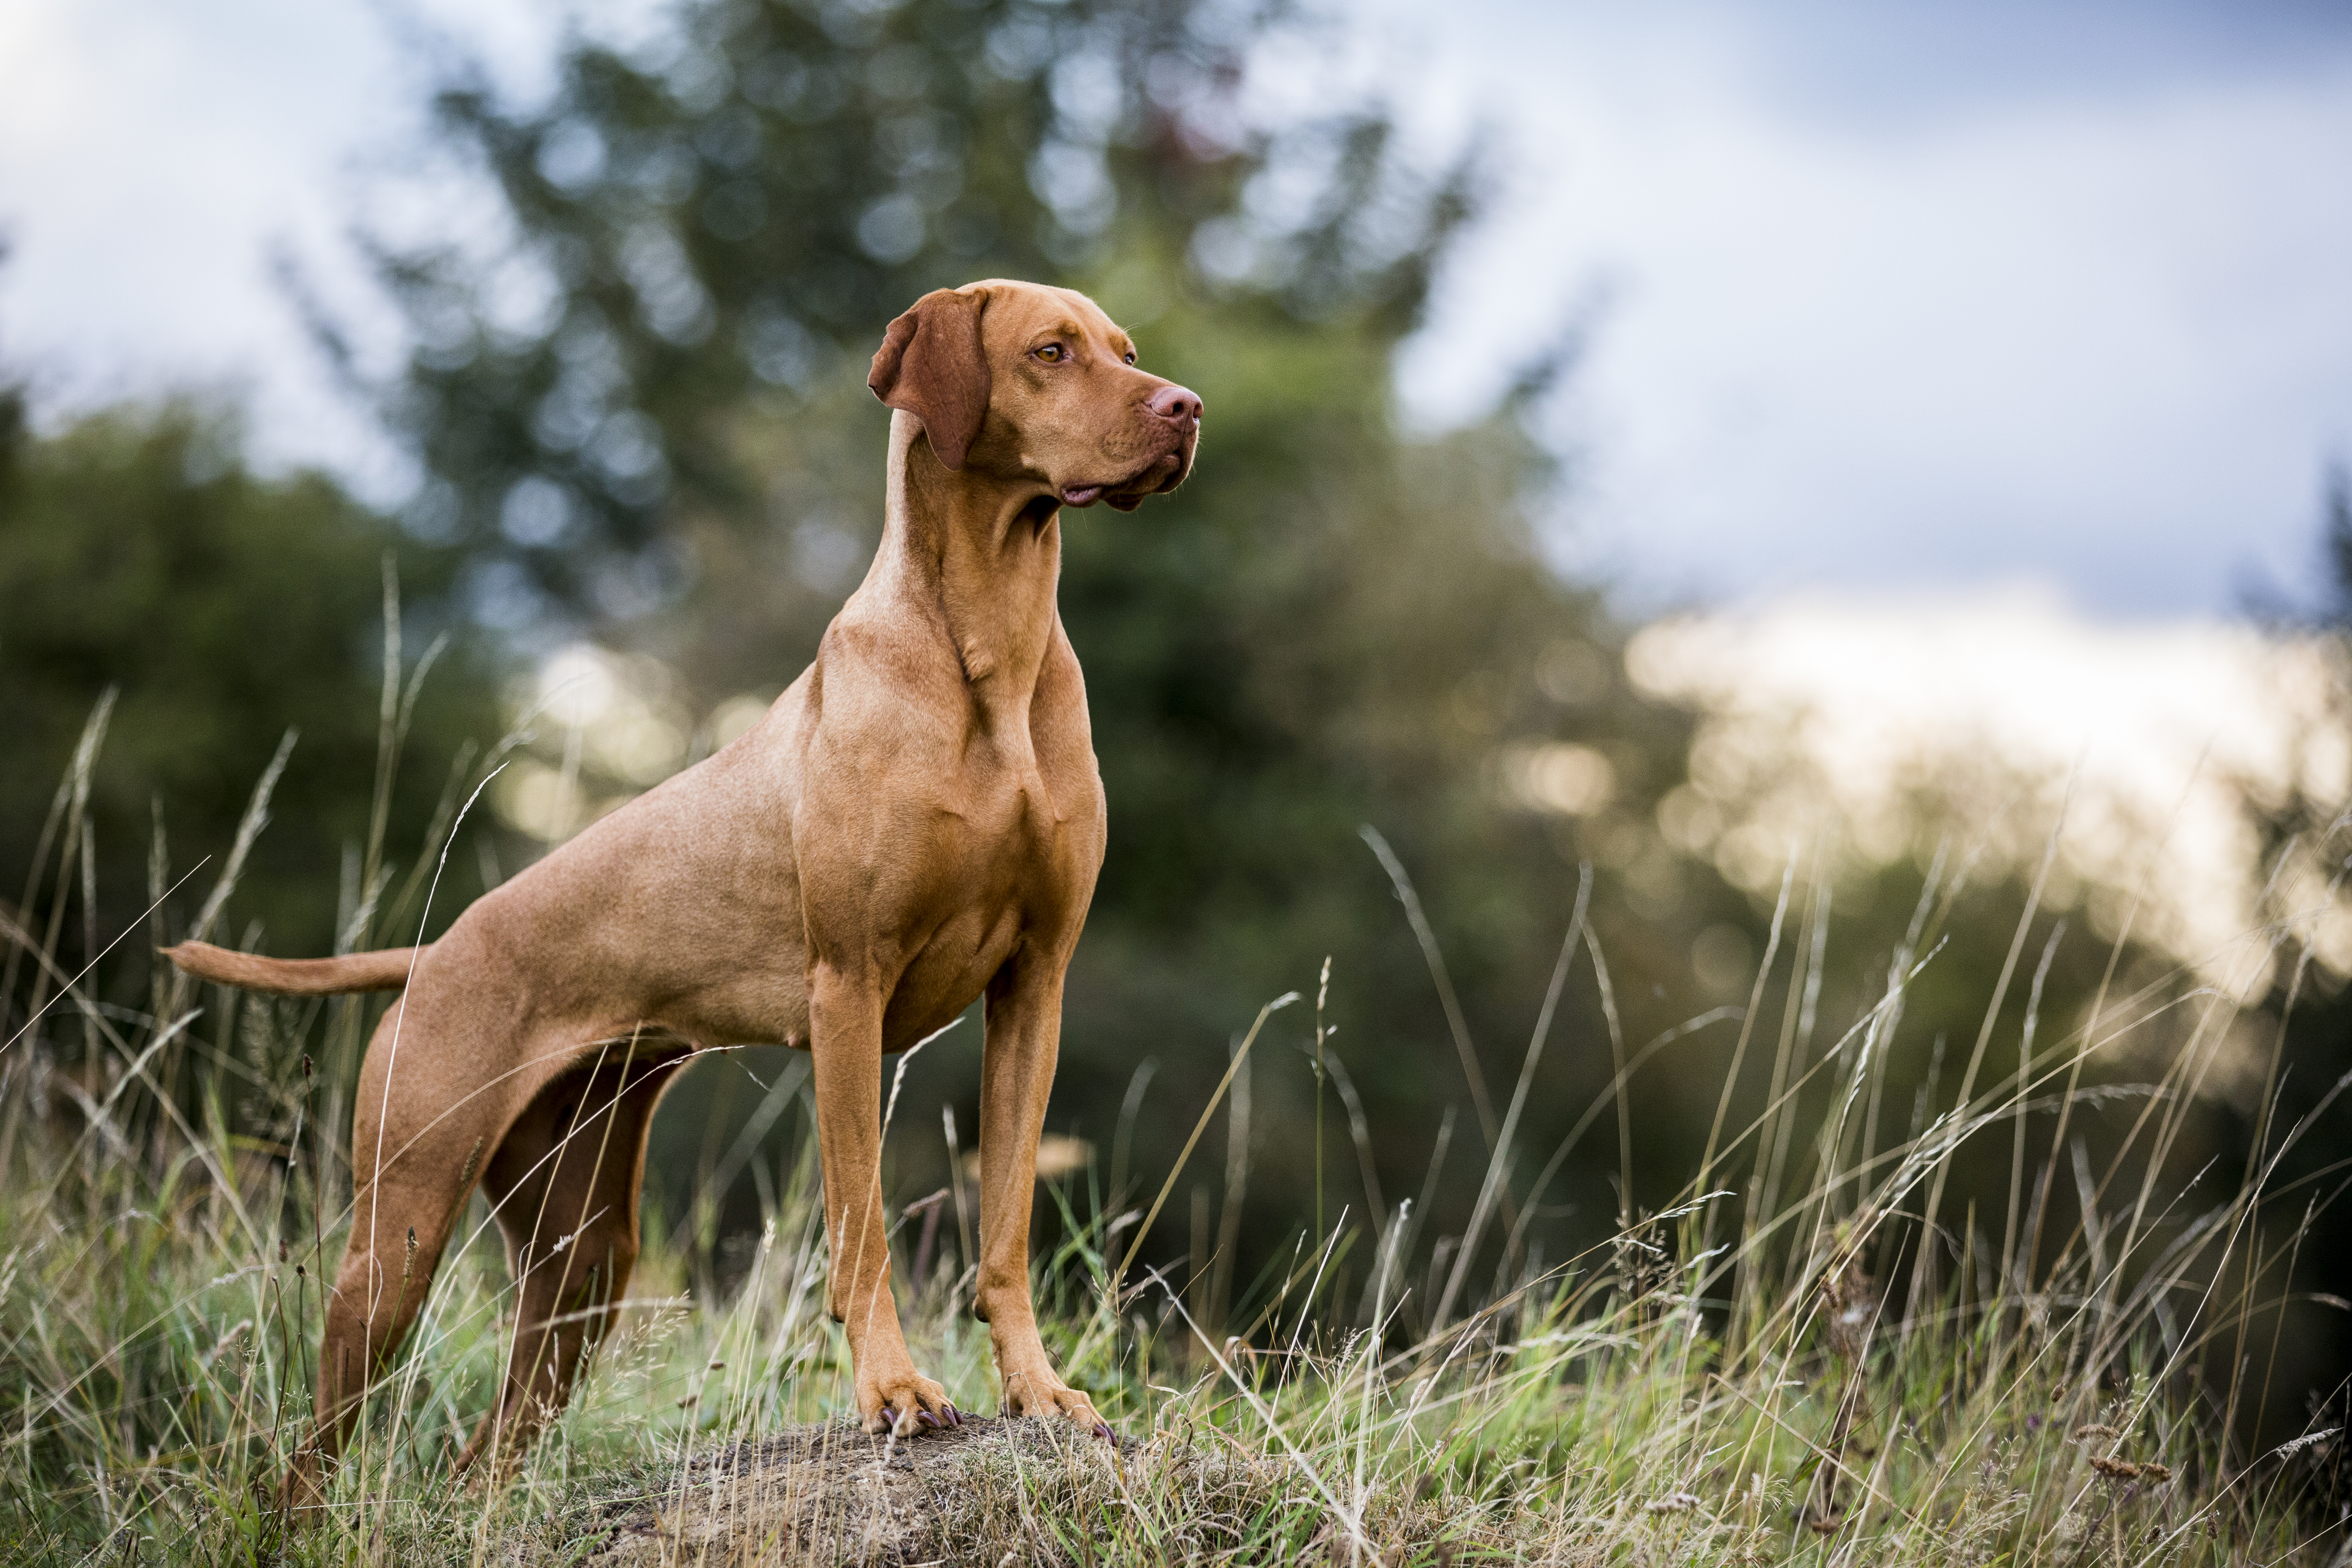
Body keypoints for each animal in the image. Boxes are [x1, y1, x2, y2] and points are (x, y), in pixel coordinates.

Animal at [163, 278, 1204, 1495]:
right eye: (1050, 351)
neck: (987, 645)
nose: (1185, 407)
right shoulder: (847, 990)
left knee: (484, 1453)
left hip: (581, 1259)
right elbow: (860, 1224)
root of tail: (435, 951)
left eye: (1125, 351)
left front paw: (1040, 1393)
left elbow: (1003, 1232)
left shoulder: (1033, 985)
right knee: (312, 1452)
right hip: (398, 1235)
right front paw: (894, 1390)